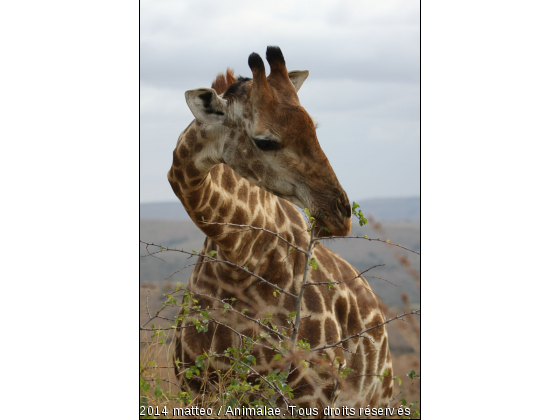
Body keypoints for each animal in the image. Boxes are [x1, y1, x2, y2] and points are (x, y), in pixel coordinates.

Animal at [167, 46, 394, 414]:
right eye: (264, 141)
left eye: (313, 127)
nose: (341, 213)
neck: (239, 252)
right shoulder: (197, 386)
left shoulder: (310, 393)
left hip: (376, 400)